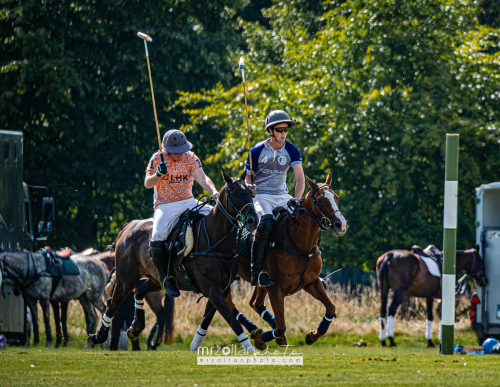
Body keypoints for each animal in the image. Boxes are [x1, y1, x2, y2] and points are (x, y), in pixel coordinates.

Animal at [90, 171, 260, 354]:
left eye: (251, 192)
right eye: (234, 193)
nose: (253, 220)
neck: (215, 240)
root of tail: (128, 227)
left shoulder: (222, 288)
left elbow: (208, 319)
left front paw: (195, 345)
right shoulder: (212, 289)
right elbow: (232, 320)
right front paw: (250, 349)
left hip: (156, 280)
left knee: (141, 289)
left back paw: (136, 328)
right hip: (125, 278)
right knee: (113, 303)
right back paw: (98, 336)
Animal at [189, 174, 350, 350]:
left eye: (336, 197)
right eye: (320, 200)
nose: (340, 224)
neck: (299, 243)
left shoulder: (311, 282)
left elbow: (330, 308)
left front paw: (312, 335)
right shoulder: (276, 288)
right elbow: (281, 327)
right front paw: (262, 337)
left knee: (254, 303)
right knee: (234, 304)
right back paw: (255, 331)